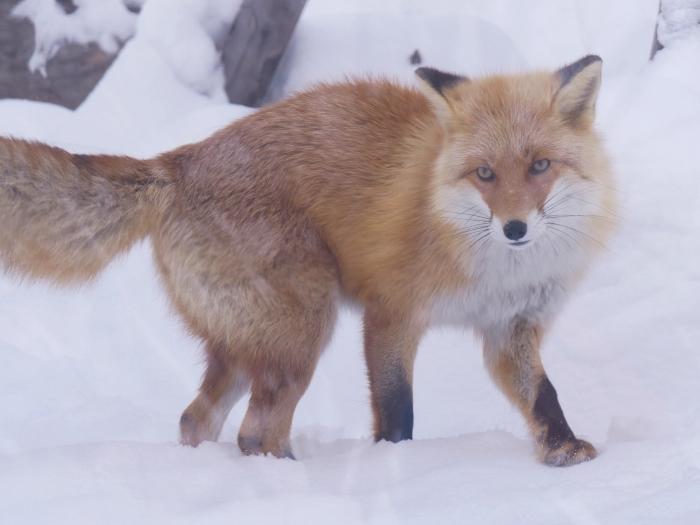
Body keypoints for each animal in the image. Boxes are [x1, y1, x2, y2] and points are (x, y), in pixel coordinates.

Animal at [0, 54, 612, 462]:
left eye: (540, 166)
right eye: (484, 173)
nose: (514, 228)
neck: (496, 270)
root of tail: (177, 162)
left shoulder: (510, 327)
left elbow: (543, 396)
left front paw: (563, 449)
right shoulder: (390, 315)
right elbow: (398, 412)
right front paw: (399, 467)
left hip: (251, 345)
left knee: (197, 419)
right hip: (303, 331)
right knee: (253, 433)